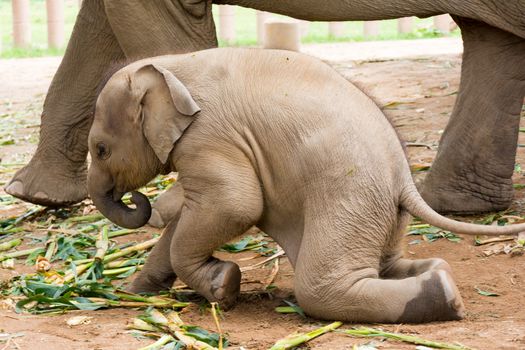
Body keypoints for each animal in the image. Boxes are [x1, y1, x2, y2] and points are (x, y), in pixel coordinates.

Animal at [87, 47, 524, 324]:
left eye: (101, 149)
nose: (137, 199)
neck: (171, 65)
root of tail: (406, 180)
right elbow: (199, 211)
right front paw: (135, 290)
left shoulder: (209, 136)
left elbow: (234, 203)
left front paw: (223, 288)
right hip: (380, 212)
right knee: (387, 266)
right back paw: (438, 275)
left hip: (350, 198)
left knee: (321, 287)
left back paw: (445, 294)